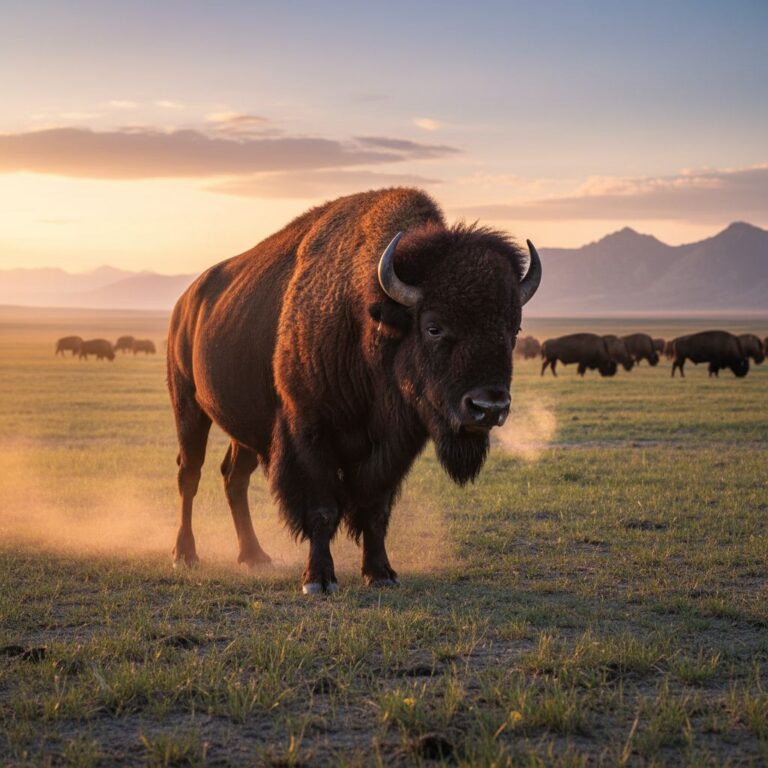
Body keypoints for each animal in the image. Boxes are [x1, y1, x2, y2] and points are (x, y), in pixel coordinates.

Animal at [166, 189, 541, 593]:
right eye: (433, 327)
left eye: (513, 330)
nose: (489, 407)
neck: (367, 319)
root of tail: (185, 303)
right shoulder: (309, 434)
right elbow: (323, 509)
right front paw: (318, 580)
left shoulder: (394, 446)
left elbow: (374, 509)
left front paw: (380, 573)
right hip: (188, 408)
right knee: (190, 474)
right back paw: (185, 555)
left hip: (247, 431)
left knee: (234, 477)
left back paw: (254, 556)